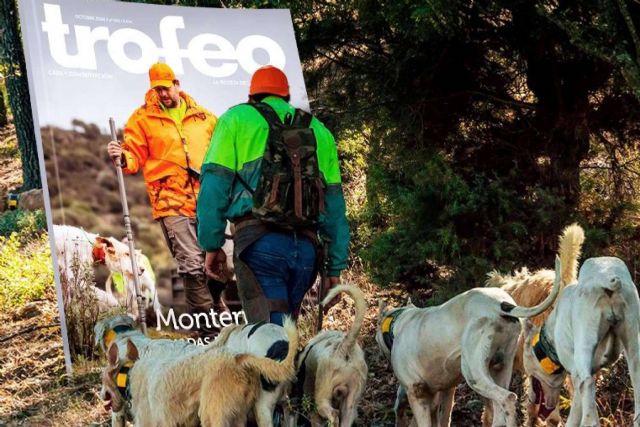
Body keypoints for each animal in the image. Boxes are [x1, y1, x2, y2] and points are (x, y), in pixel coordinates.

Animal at [378, 258, 564, 427]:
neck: (400, 322)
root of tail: (502, 305)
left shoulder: (416, 394)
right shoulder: (446, 390)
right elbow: (442, 418)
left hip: (474, 374)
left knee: (508, 398)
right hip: (499, 370)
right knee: (499, 409)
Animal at [520, 256, 640, 427]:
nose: (530, 398)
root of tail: (606, 279)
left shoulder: (576, 372)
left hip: (584, 344)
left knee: (588, 388)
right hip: (632, 343)